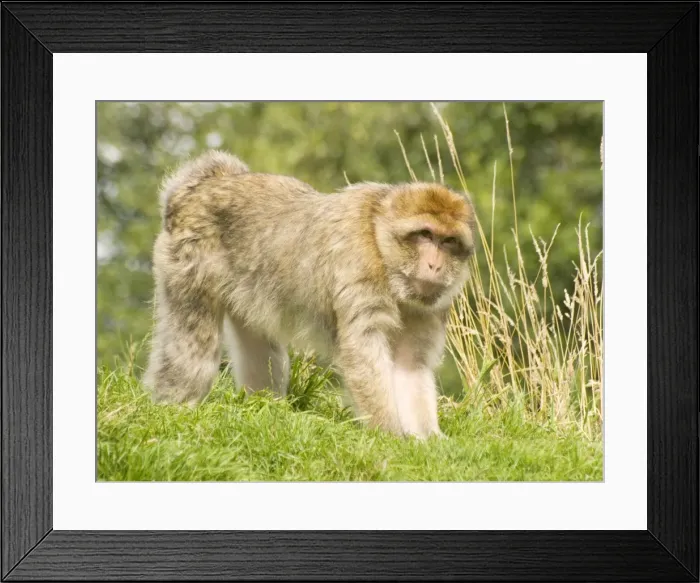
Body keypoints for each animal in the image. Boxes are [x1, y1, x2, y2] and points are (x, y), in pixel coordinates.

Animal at [142, 150, 477, 440]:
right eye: (425, 235)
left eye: (448, 242)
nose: (434, 265)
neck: (382, 247)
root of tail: (198, 187)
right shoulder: (359, 267)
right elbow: (363, 351)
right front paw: (389, 435)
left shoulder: (428, 306)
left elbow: (410, 364)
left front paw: (428, 440)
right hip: (186, 261)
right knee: (193, 348)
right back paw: (174, 404)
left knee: (260, 348)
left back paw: (265, 407)